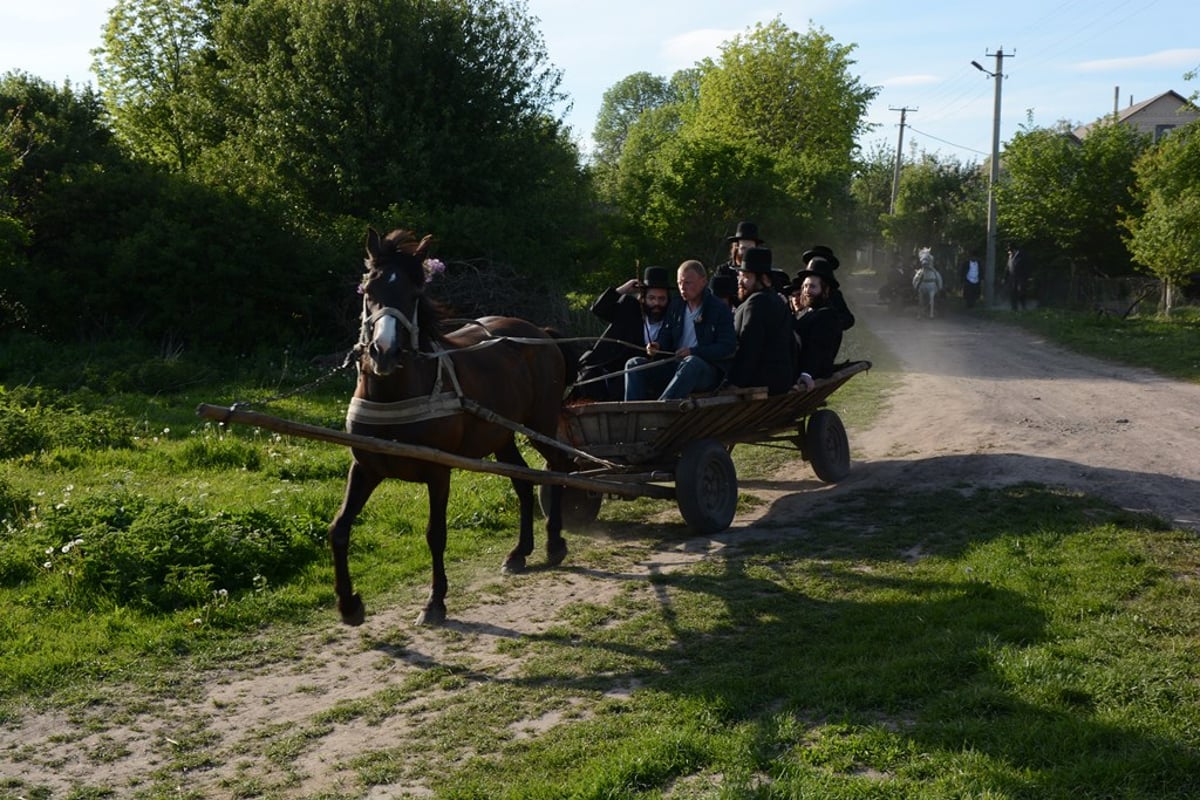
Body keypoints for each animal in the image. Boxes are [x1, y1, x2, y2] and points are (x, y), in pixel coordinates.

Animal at [328, 225, 571, 623]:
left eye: (414, 294)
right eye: (369, 290)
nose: (384, 352)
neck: (394, 393)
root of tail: (540, 333)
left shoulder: (438, 471)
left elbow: (435, 534)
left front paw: (435, 601)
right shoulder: (365, 468)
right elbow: (339, 529)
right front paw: (349, 604)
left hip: (542, 424)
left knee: (557, 468)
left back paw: (554, 543)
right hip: (501, 435)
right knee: (523, 481)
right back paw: (520, 552)